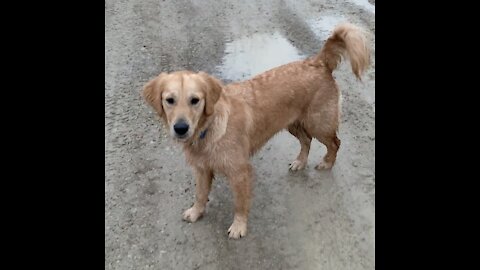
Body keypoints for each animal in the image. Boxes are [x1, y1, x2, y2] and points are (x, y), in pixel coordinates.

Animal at [142, 23, 372, 238]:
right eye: (170, 100)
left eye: (195, 100)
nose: (180, 128)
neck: (210, 128)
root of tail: (318, 62)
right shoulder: (202, 169)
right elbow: (200, 194)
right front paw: (196, 211)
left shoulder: (240, 172)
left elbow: (240, 203)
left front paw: (239, 226)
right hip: (293, 124)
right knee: (306, 141)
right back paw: (300, 162)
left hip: (319, 123)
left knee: (334, 143)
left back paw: (327, 162)